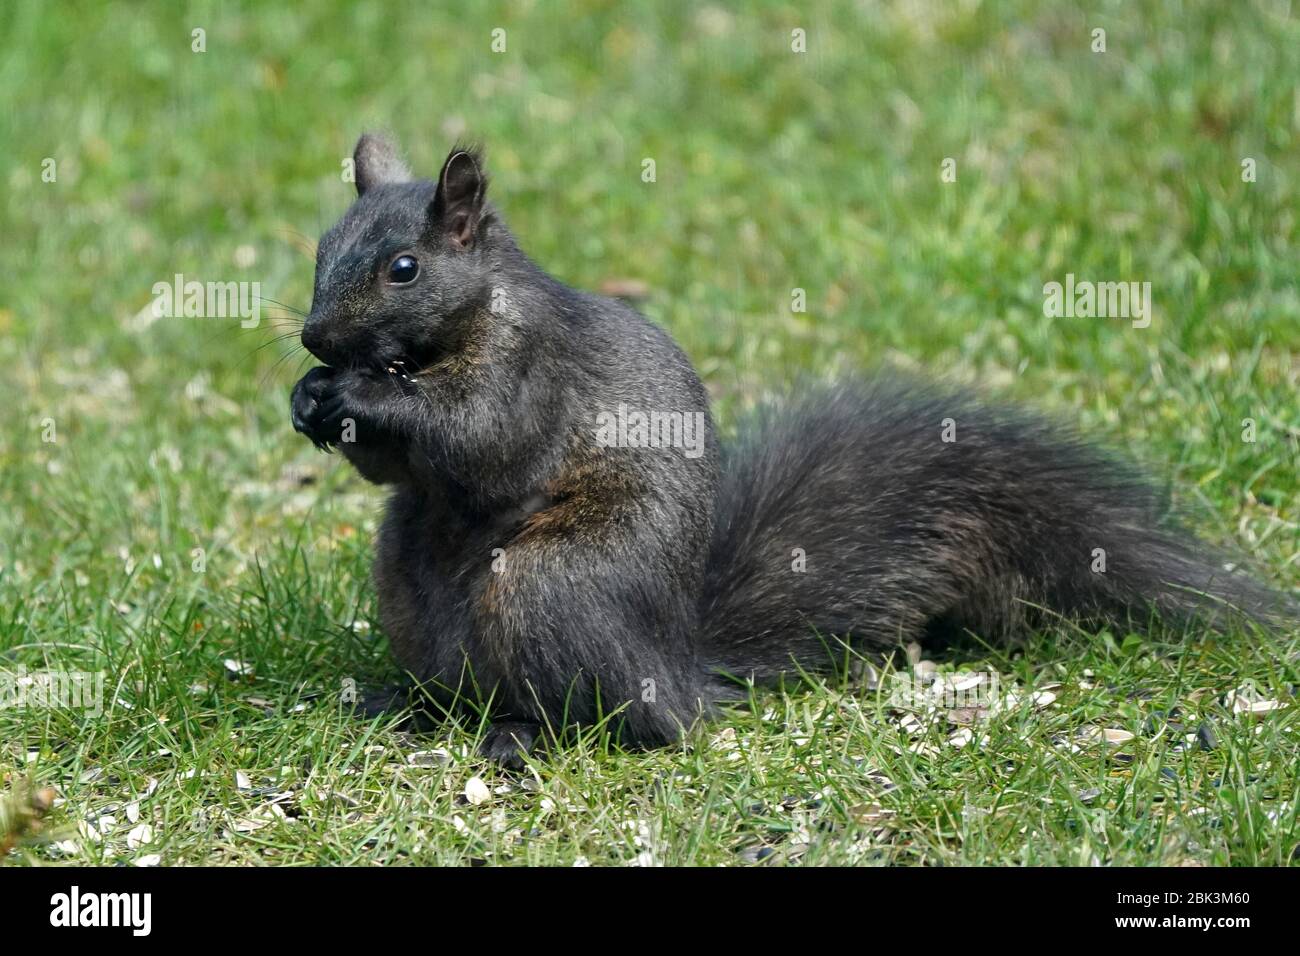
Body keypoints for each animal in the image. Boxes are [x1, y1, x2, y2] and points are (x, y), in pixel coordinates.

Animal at [291, 134, 1292, 765]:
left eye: (405, 269)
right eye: (320, 250)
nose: (311, 339)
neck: (458, 325)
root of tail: (678, 672)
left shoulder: (532, 365)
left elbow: (485, 437)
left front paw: (355, 395)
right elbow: (405, 469)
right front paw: (310, 398)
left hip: (552, 586)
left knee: (615, 719)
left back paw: (525, 737)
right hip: (409, 589)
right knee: (466, 684)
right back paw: (405, 705)